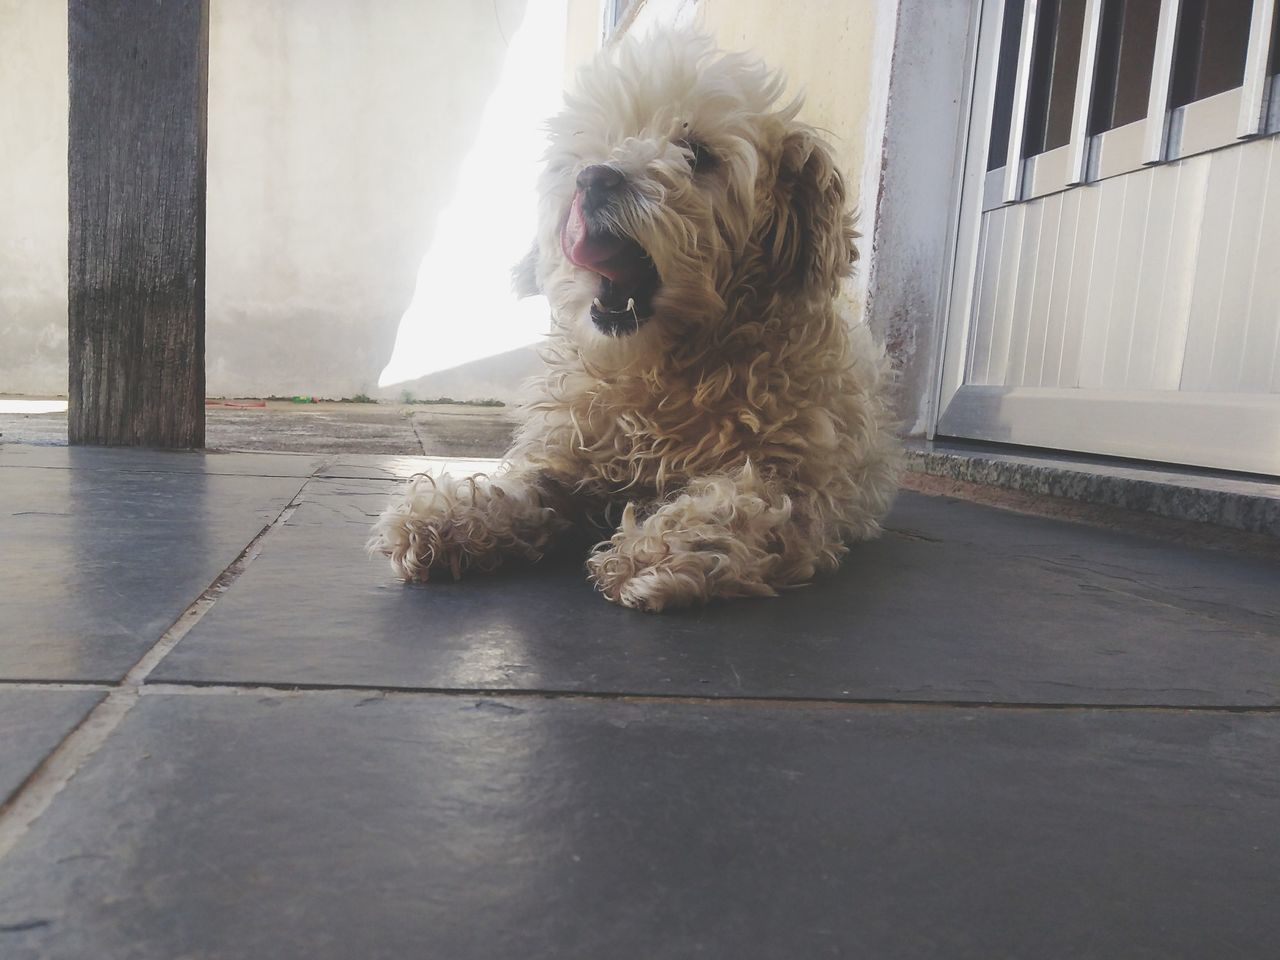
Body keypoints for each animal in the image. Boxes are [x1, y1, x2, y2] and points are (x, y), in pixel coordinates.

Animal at [373, 32, 901, 616]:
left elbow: (741, 503)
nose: (594, 177)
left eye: (697, 154)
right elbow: (523, 485)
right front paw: (446, 515)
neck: (657, 372)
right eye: (593, 146)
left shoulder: (799, 487)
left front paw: (658, 550)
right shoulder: (568, 458)